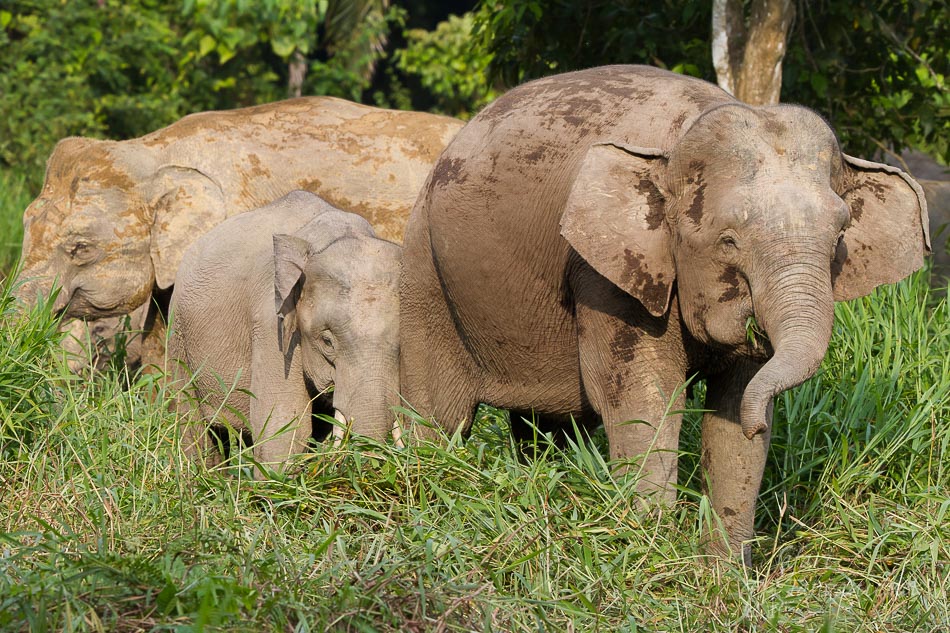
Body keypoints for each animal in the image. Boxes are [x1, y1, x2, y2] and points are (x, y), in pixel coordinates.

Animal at [400, 65, 928, 564]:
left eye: (840, 237)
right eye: (729, 240)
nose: (764, 428)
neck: (681, 136)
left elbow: (733, 408)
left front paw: (724, 578)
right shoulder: (606, 274)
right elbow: (644, 395)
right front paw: (651, 550)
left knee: (547, 426)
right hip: (427, 274)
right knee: (438, 415)